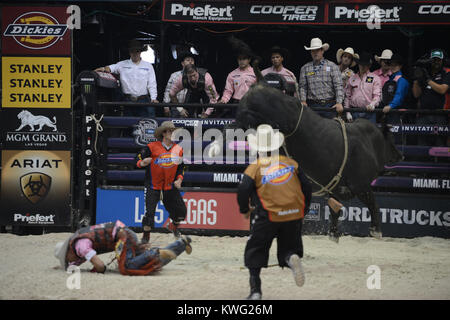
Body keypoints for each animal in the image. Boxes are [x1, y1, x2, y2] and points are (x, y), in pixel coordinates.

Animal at [234, 84, 402, 236]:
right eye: (392, 140)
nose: (400, 155)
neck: (370, 143)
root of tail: (257, 88)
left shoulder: (336, 187)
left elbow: (335, 209)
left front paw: (334, 232)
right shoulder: (361, 185)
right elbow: (374, 204)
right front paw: (376, 230)